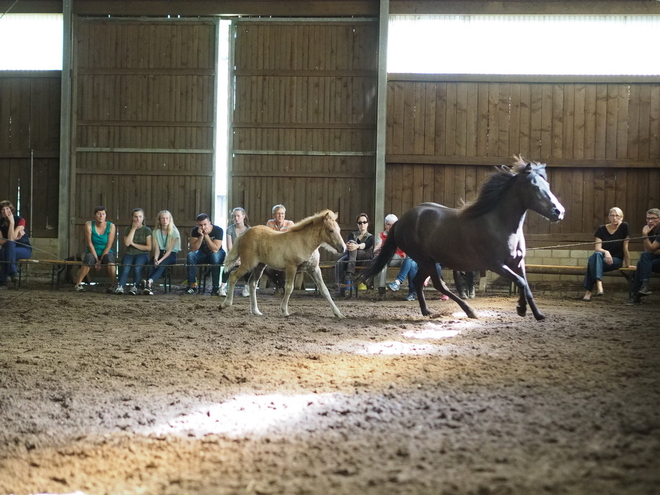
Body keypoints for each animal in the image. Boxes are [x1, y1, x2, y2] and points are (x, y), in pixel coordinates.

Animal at [358, 158, 564, 322]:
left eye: (548, 186)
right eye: (535, 187)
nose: (559, 212)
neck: (500, 224)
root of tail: (401, 220)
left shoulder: (517, 262)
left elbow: (526, 285)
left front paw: (538, 314)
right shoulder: (497, 265)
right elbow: (520, 282)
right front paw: (521, 309)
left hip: (428, 261)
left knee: (418, 282)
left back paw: (427, 311)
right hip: (426, 259)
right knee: (438, 285)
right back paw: (470, 311)